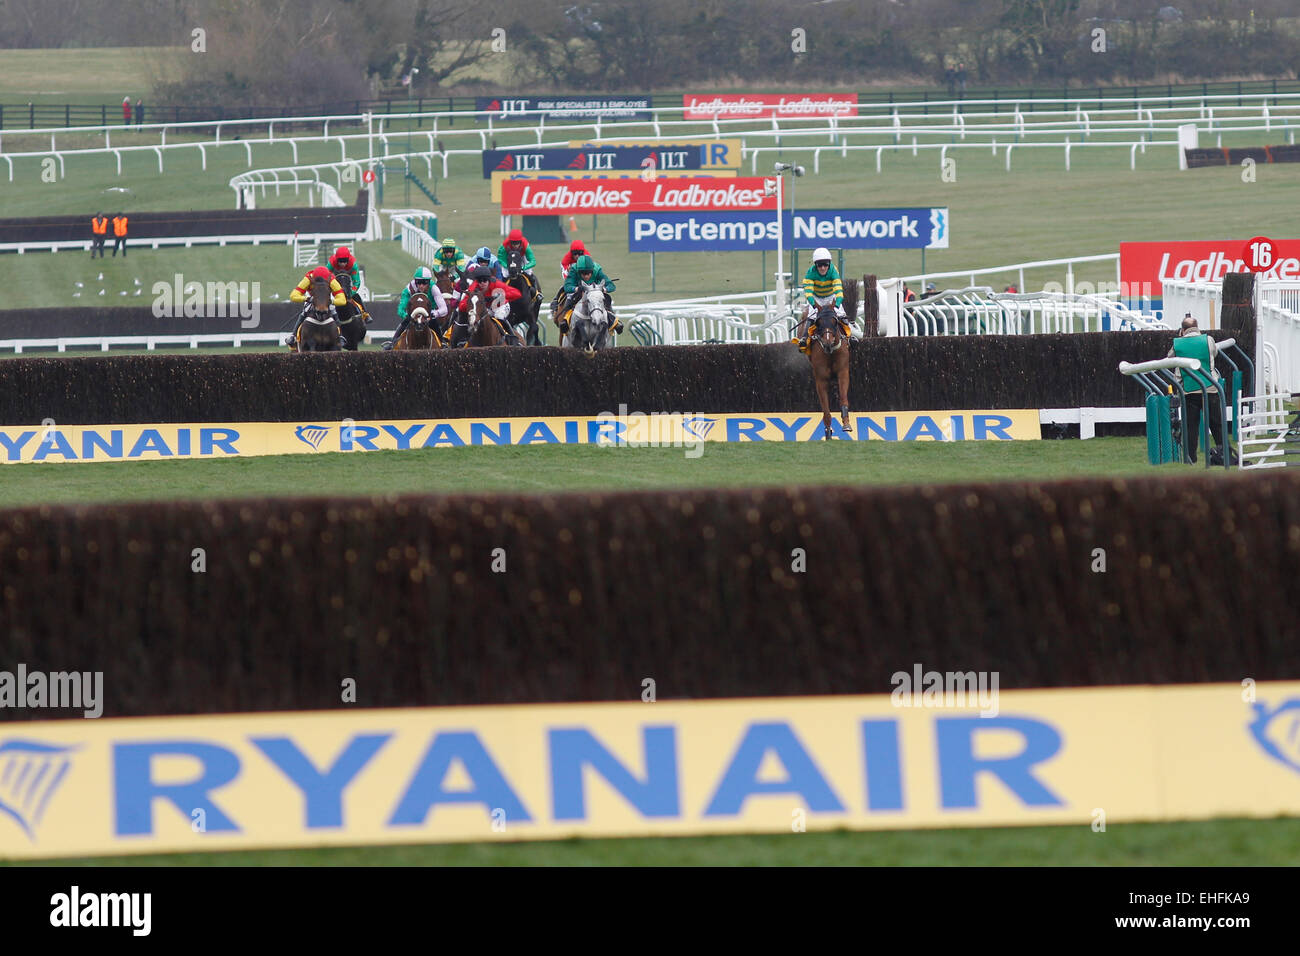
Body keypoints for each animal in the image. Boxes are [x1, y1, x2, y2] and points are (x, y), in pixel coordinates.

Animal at [806, 278, 857, 439]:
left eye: (835, 321)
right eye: (818, 322)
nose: (828, 342)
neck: (830, 352)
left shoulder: (843, 372)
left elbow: (843, 397)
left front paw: (846, 424)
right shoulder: (821, 378)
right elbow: (825, 408)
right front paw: (828, 431)